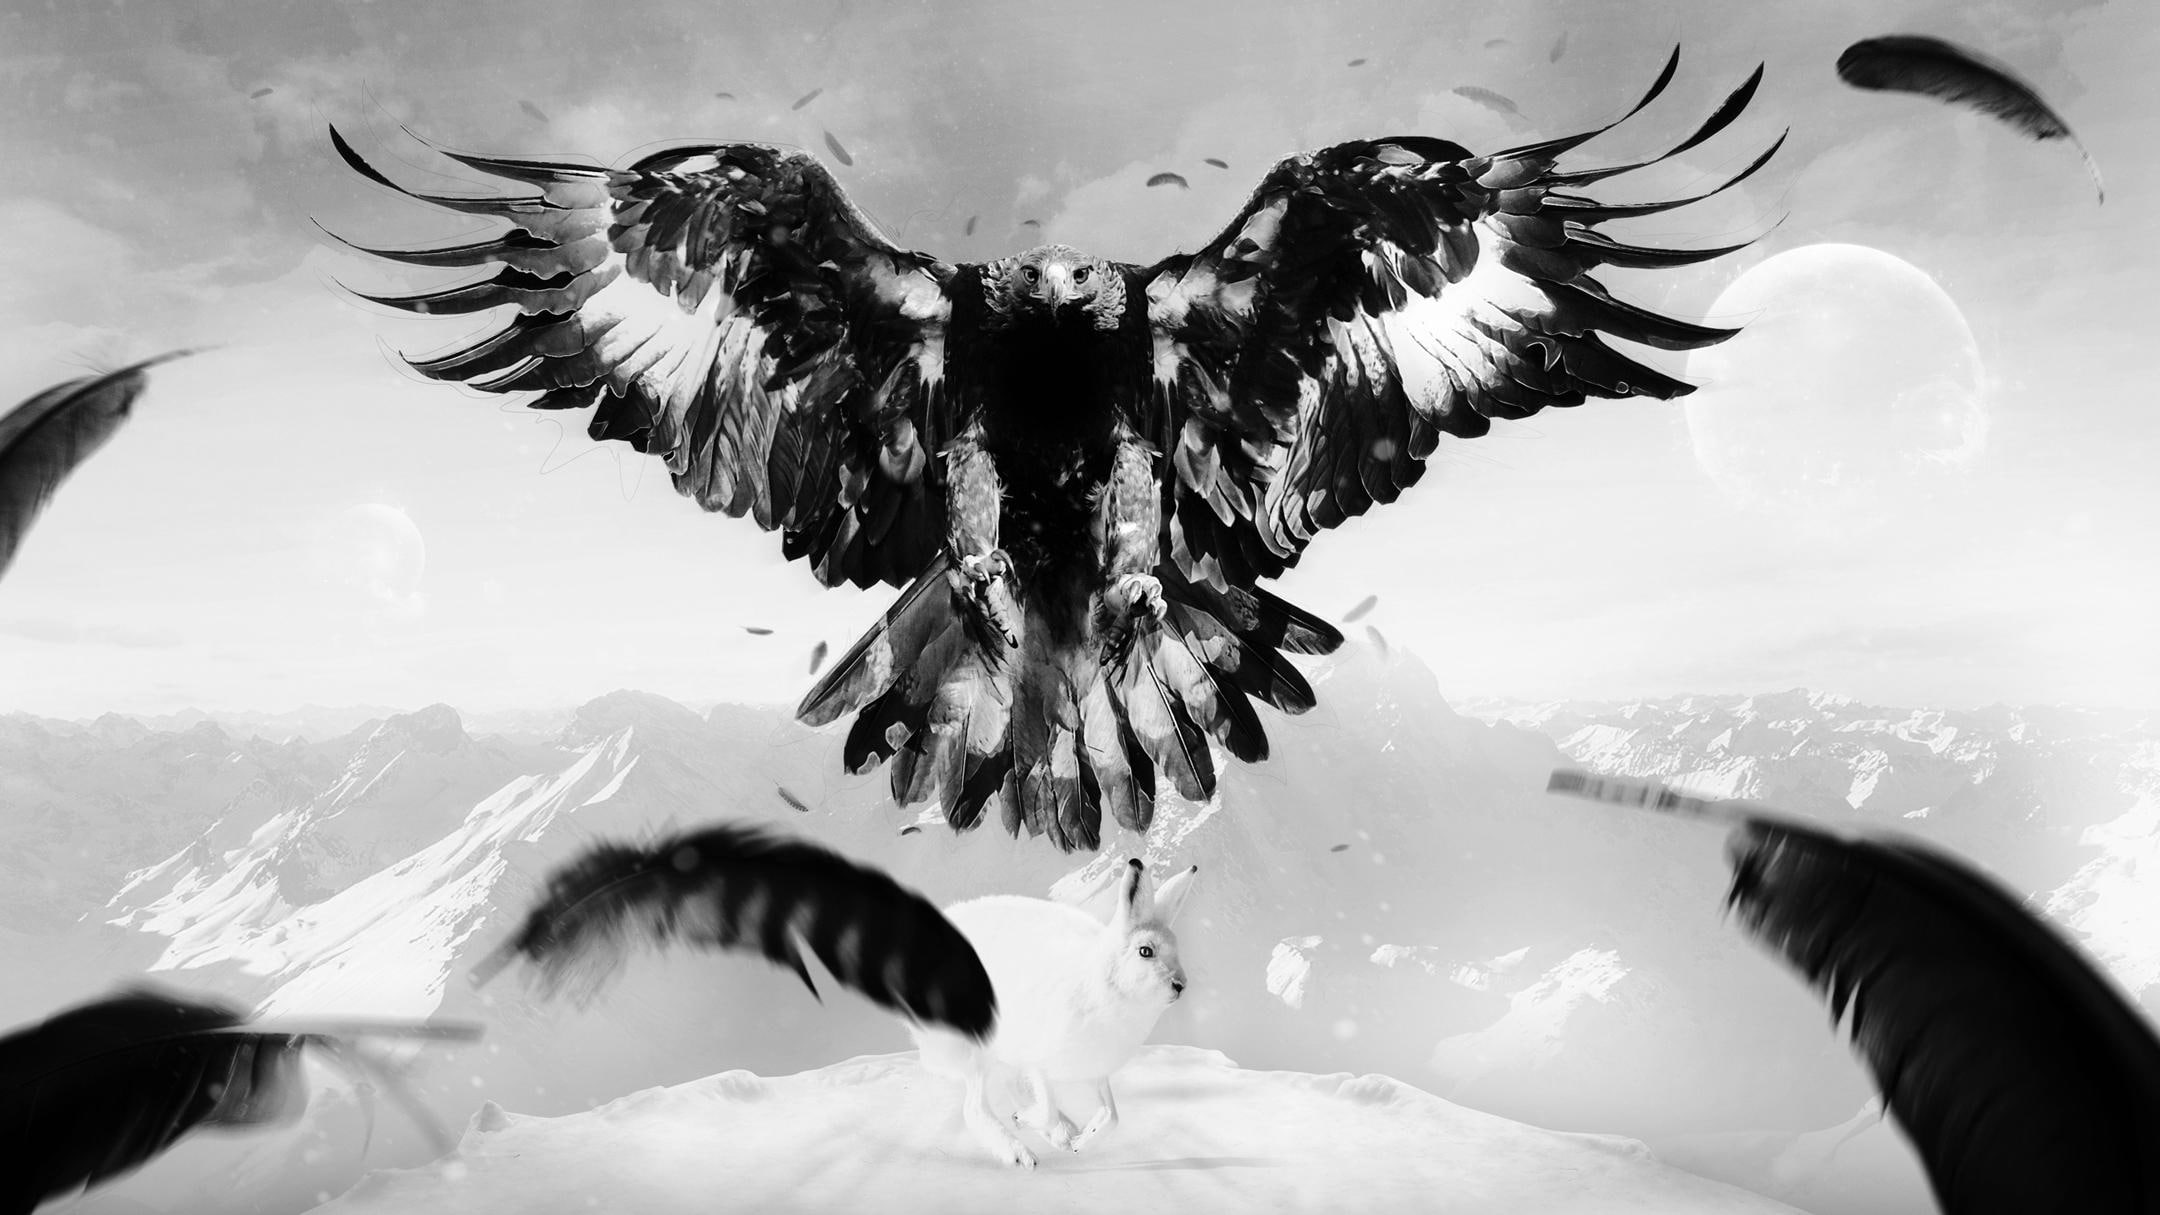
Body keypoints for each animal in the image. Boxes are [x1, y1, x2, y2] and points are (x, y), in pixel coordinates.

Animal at [910, 857, 1199, 1169]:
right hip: (975, 1044)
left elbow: (1112, 1116)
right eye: (1145, 951)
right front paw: (1030, 1122)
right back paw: (1021, 1153)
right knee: (974, 1107)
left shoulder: (1095, 1068)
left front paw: (1082, 1141)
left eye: (1177, 950)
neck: (1105, 983)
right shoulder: (1038, 1058)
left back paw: (1063, 1132)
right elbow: (1047, 1107)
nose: (1180, 985)